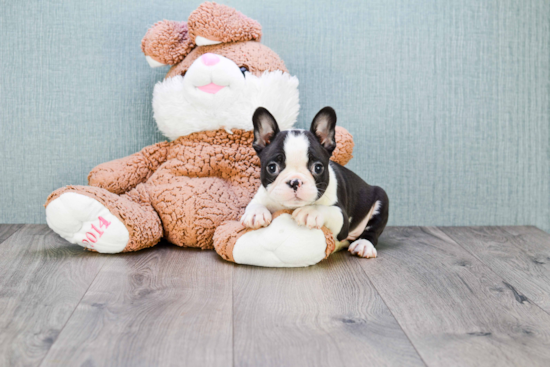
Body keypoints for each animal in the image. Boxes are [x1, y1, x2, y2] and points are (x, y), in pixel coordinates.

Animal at [243, 106, 392, 258]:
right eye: (272, 167)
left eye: (318, 168)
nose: (295, 182)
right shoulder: (262, 195)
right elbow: (254, 203)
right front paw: (256, 213)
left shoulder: (342, 219)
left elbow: (325, 209)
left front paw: (310, 212)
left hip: (381, 199)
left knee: (372, 231)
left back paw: (363, 245)